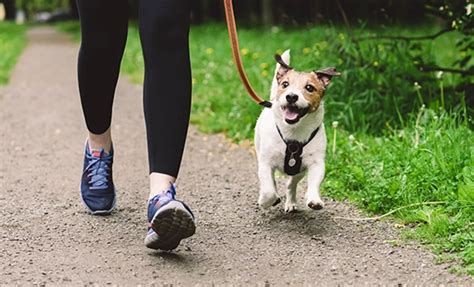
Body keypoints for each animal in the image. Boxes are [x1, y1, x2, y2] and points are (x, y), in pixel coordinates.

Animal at [254, 49, 338, 213]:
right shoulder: (265, 163)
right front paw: (266, 201)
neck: (293, 132)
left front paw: (314, 199)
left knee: (290, 184)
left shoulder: (316, 163)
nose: (291, 96)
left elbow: (314, 182)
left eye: (309, 88)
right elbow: (268, 190)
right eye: (285, 84)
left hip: (299, 171)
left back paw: (291, 202)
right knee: (272, 183)